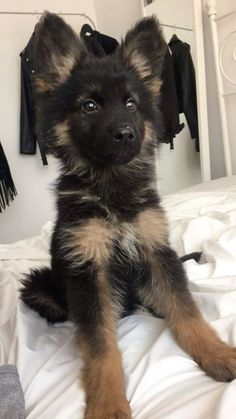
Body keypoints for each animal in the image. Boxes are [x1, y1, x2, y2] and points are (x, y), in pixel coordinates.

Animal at [21, 11, 236, 419]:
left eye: (132, 104)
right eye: (89, 106)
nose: (125, 134)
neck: (112, 188)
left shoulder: (157, 252)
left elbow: (187, 312)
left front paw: (216, 353)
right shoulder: (87, 270)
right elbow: (100, 345)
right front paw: (107, 402)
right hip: (40, 284)